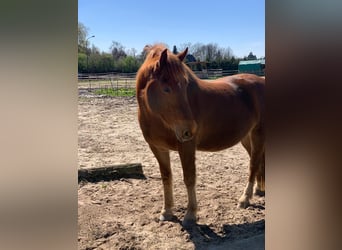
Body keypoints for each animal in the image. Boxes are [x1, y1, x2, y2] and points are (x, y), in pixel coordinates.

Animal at [136, 44, 264, 228]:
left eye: (185, 85)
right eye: (166, 88)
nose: (190, 129)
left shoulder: (187, 146)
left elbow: (189, 178)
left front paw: (190, 215)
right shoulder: (157, 148)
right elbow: (166, 178)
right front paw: (166, 212)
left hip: (258, 133)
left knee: (253, 164)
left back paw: (245, 199)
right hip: (247, 137)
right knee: (259, 161)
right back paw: (259, 190)